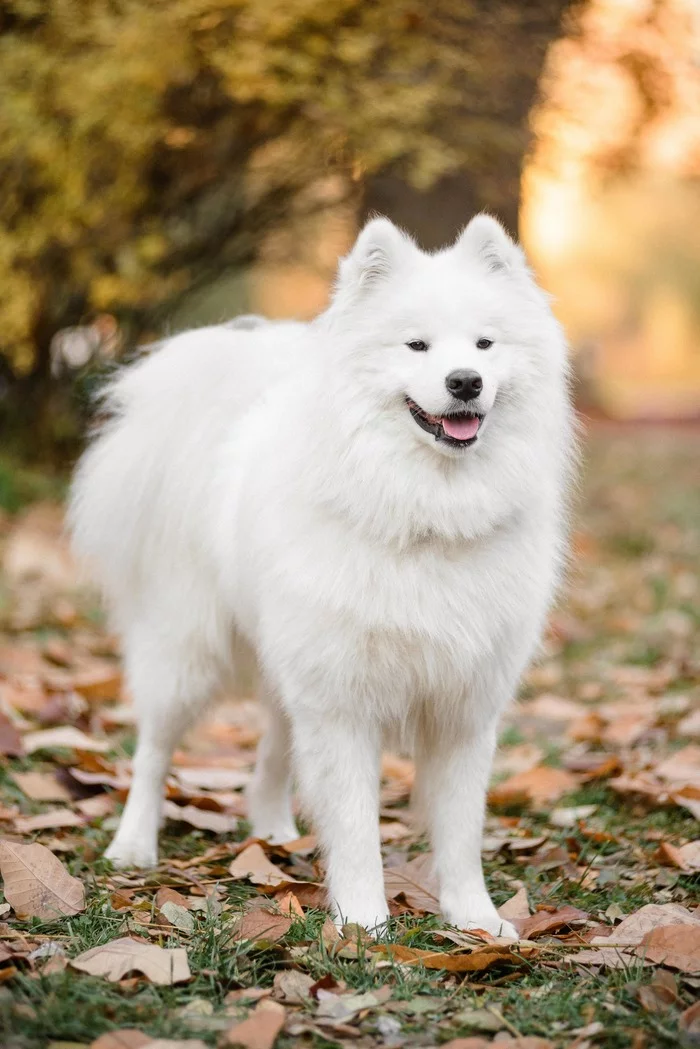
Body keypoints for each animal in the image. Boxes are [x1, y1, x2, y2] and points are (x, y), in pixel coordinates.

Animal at [69, 217, 575, 939]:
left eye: (485, 343)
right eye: (416, 344)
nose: (466, 381)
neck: (425, 513)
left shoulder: (463, 706)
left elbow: (459, 830)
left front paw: (475, 919)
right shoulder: (343, 702)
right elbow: (357, 826)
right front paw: (364, 923)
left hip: (290, 661)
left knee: (272, 752)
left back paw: (273, 830)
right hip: (188, 654)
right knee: (154, 749)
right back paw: (133, 844)